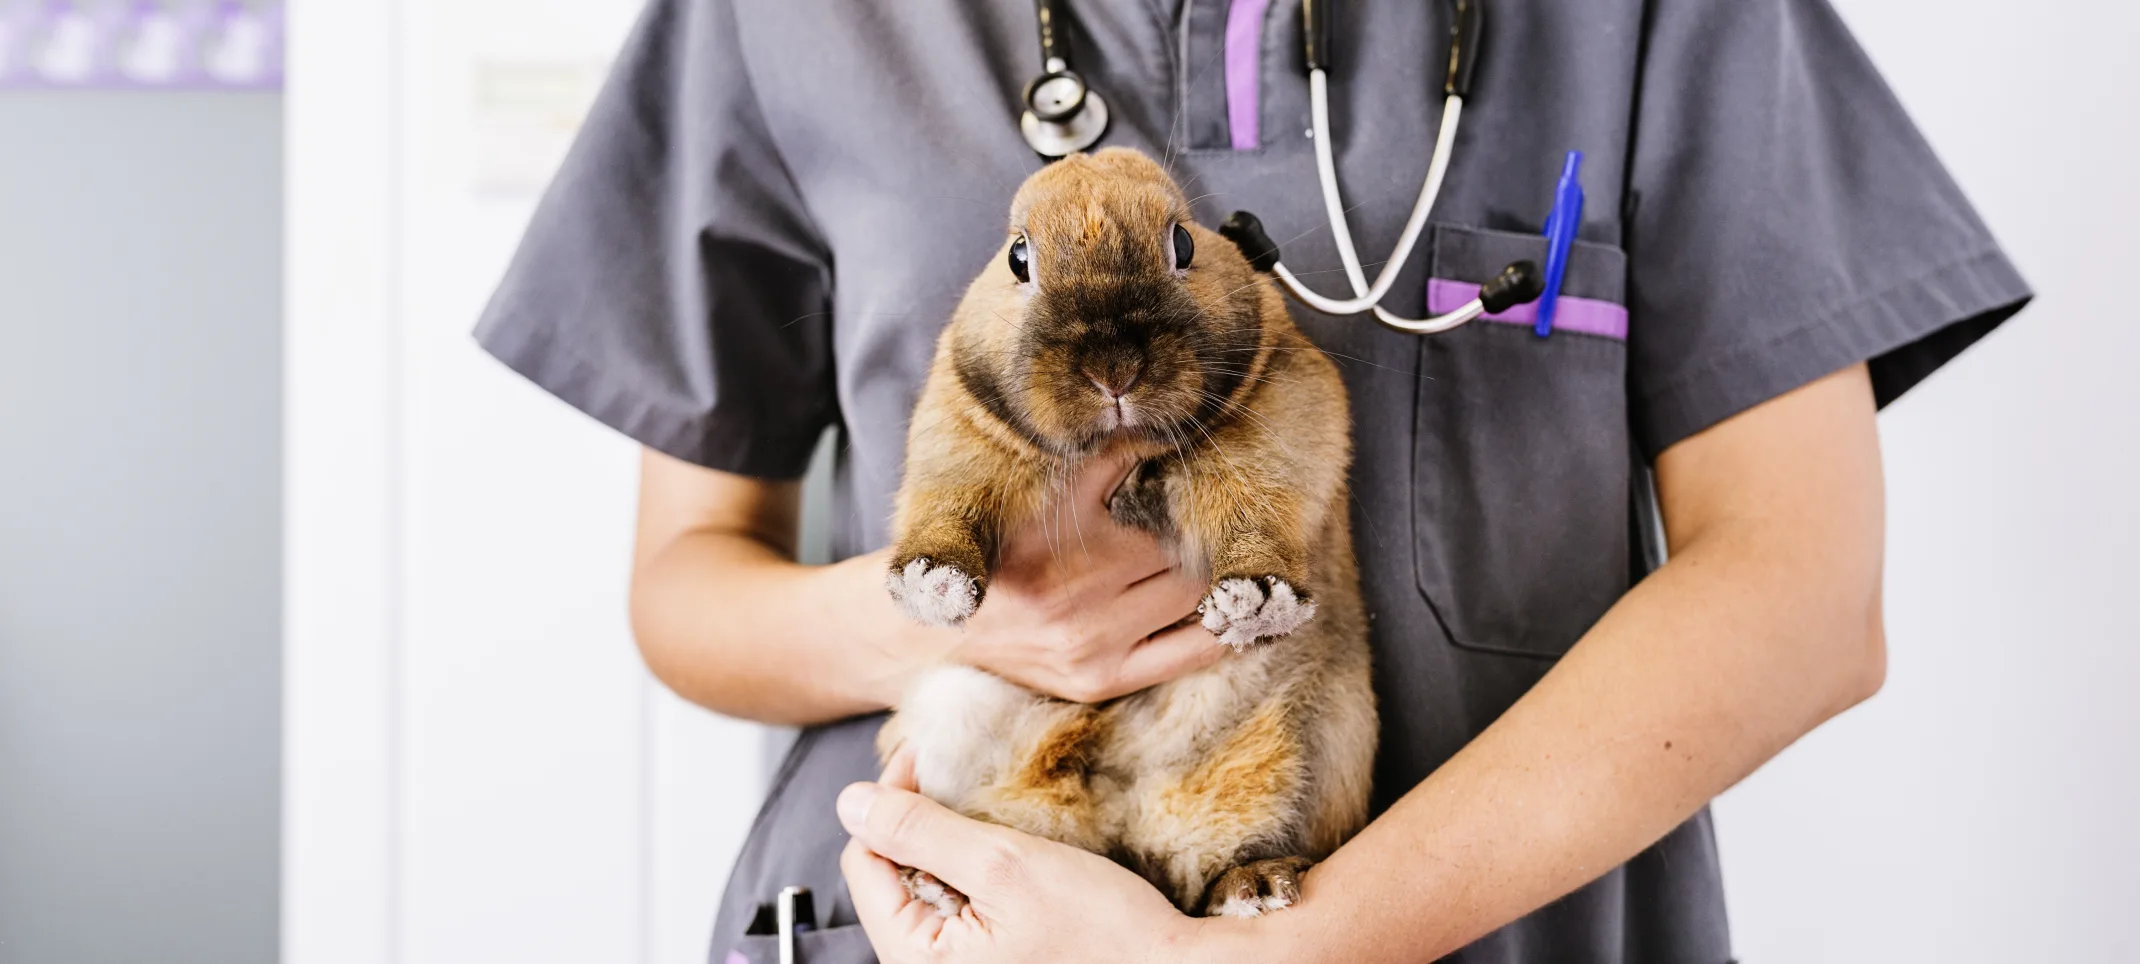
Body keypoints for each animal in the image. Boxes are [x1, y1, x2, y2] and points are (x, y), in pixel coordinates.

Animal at [877, 144, 1378, 916]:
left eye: (1184, 244)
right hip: (956, 711)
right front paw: (933, 586)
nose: (1112, 368)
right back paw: (942, 886)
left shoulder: (1285, 414)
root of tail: (1125, 814)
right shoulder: (956, 433)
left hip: (1324, 742)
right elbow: (945, 503)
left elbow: (1259, 506)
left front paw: (1255, 603)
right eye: (1019, 258)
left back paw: (1254, 887)